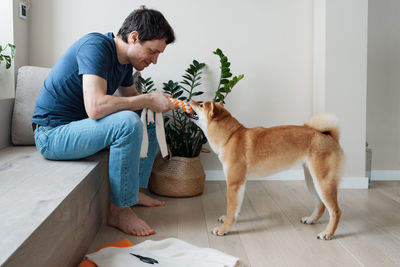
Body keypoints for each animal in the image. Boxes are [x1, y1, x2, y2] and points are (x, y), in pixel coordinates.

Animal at [186, 100, 346, 241]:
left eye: (201, 105)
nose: (190, 100)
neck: (230, 137)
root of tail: (327, 135)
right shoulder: (240, 185)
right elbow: (235, 210)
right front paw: (228, 221)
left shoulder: (234, 184)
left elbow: (231, 209)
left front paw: (224, 229)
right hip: (312, 180)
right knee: (321, 206)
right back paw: (311, 219)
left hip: (323, 182)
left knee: (336, 211)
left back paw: (327, 234)